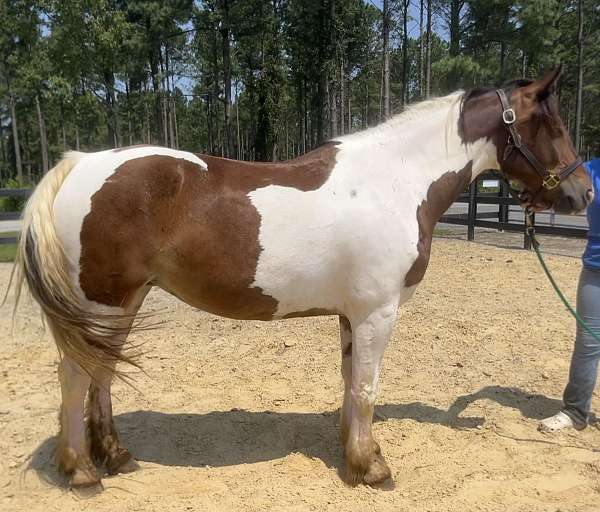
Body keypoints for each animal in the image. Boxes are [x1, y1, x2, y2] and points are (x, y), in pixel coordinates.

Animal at [12, 66, 592, 490]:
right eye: (554, 126)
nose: (582, 193)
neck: (396, 180)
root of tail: (78, 164)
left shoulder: (351, 315)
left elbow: (351, 382)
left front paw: (355, 452)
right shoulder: (378, 312)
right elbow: (367, 387)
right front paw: (372, 468)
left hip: (120, 304)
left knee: (101, 375)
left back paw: (115, 455)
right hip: (103, 302)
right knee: (76, 378)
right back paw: (81, 471)